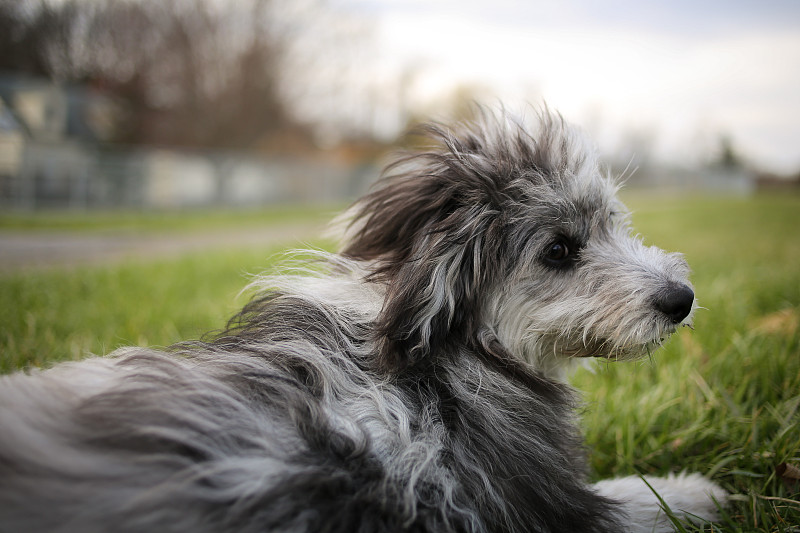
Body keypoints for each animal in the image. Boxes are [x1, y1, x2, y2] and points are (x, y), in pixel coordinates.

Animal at [0, 106, 724, 528]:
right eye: (559, 250)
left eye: (613, 222)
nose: (681, 298)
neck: (440, 358)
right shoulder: (541, 504)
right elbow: (638, 501)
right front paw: (696, 491)